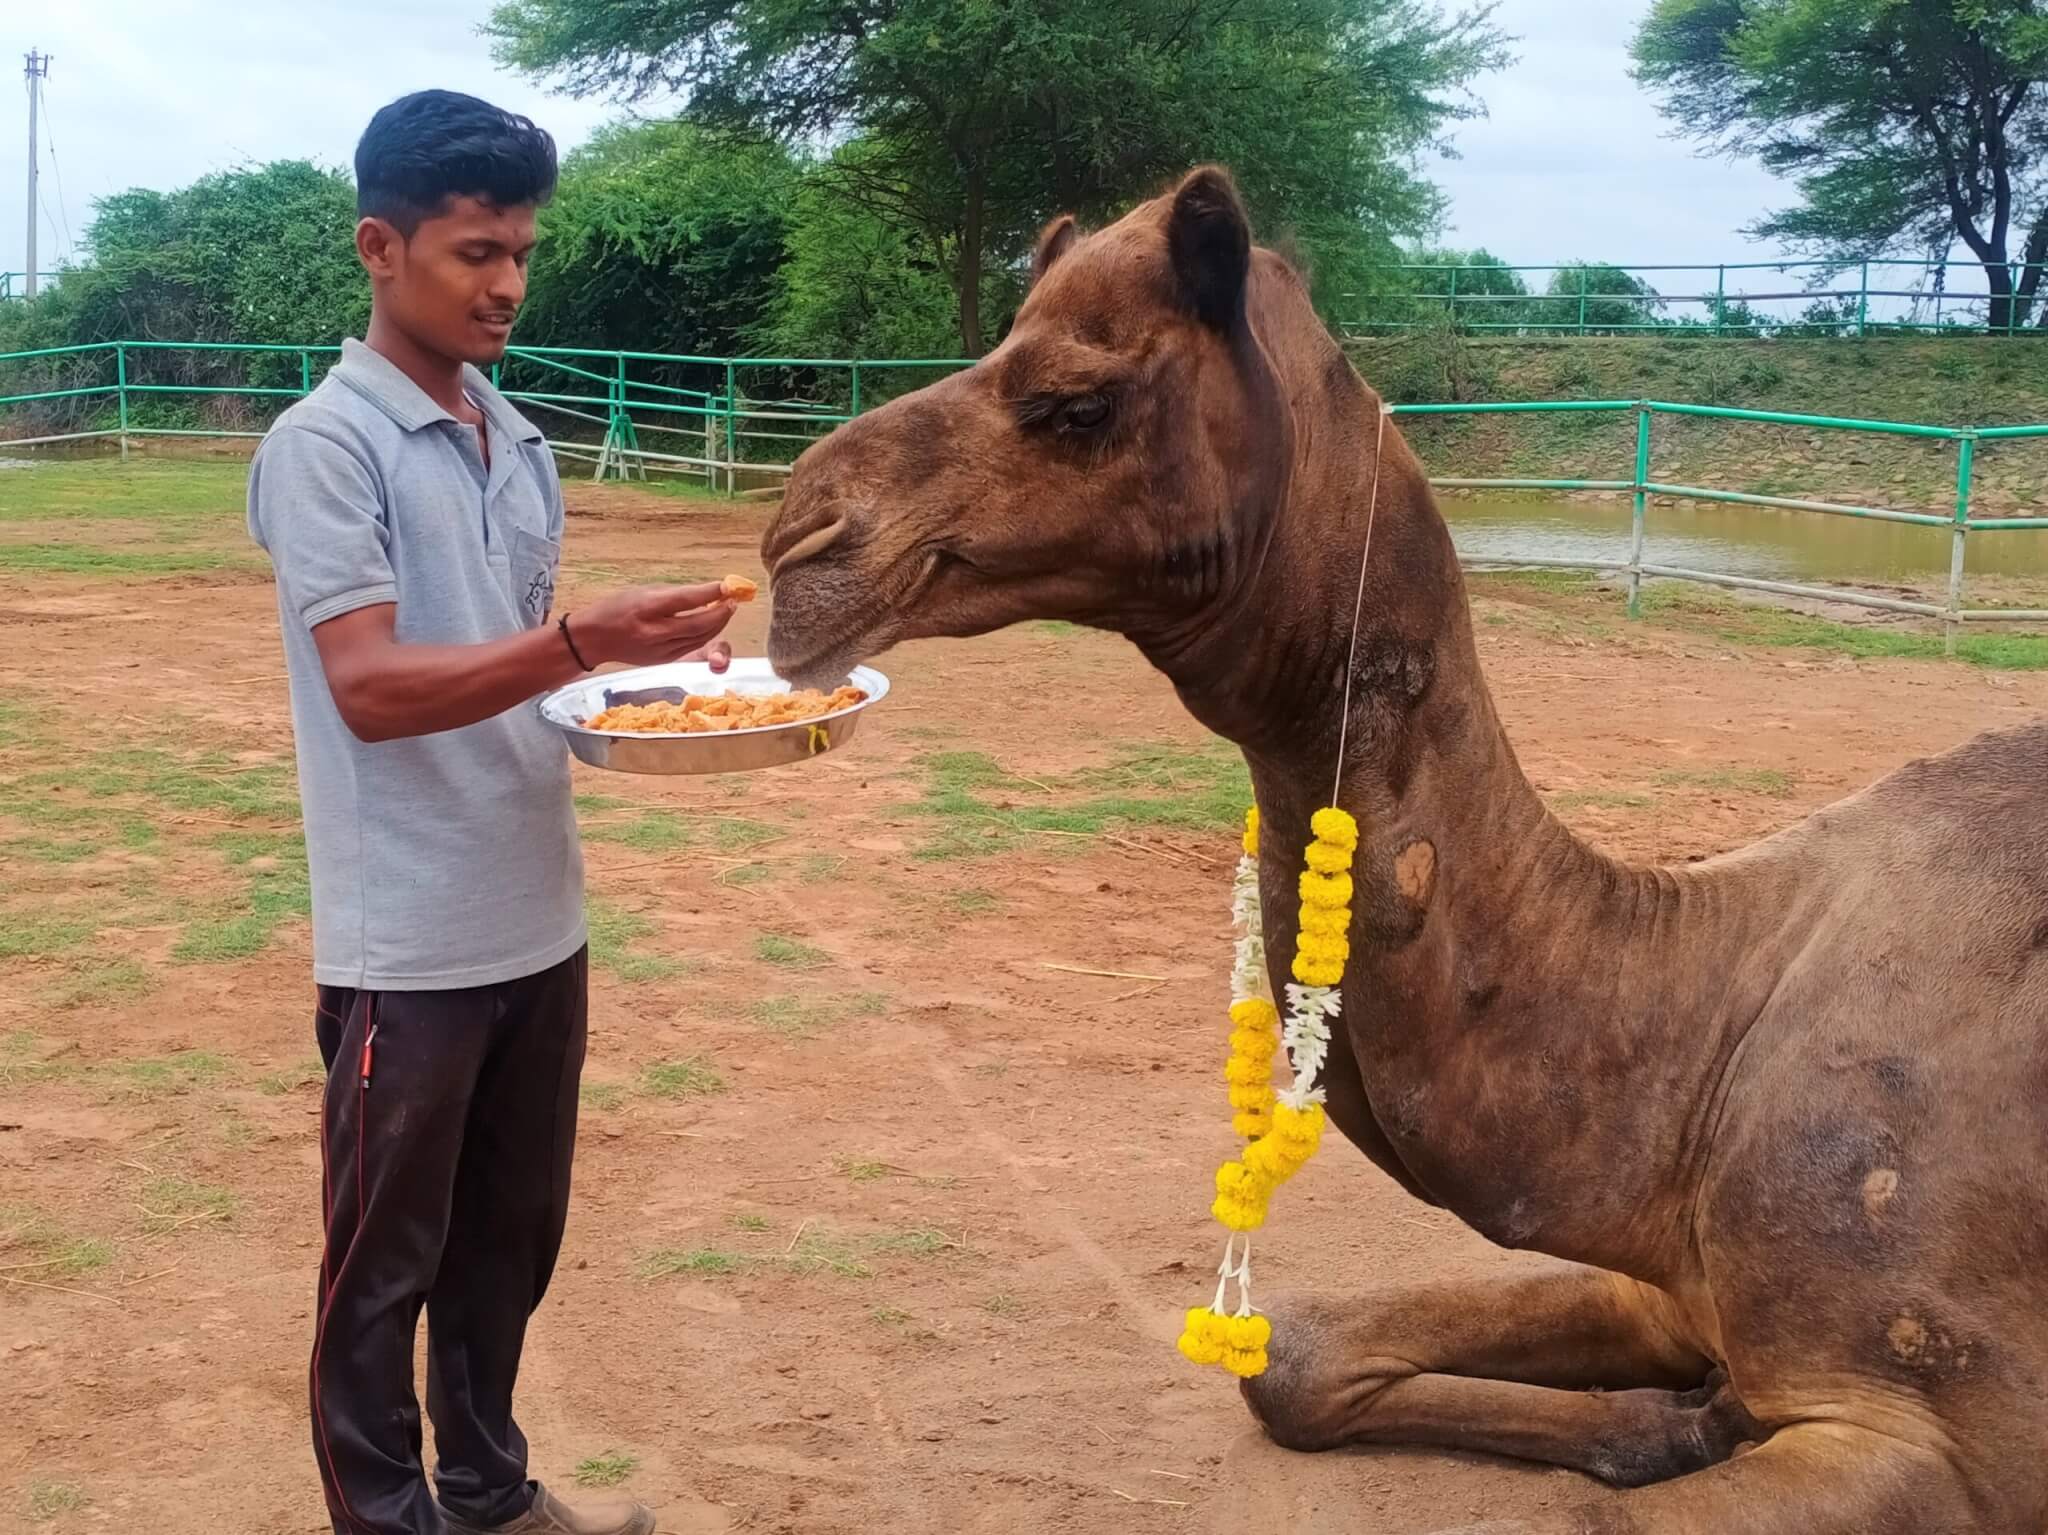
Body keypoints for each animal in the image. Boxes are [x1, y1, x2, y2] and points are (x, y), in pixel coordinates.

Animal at [757, 170, 2048, 1535]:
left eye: (1075, 400)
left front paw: (1684, 1425)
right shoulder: (1664, 1284)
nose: (796, 544)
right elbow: (1292, 1359)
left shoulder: (1943, 1431)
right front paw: (1674, 1419)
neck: (1703, 1039)